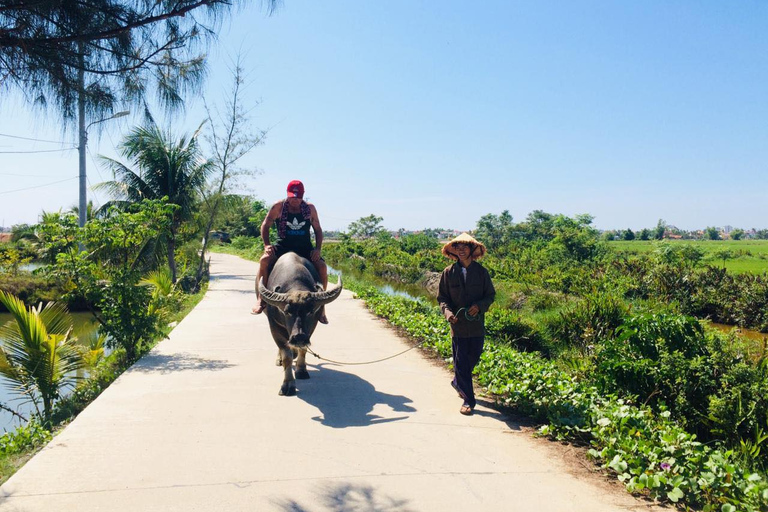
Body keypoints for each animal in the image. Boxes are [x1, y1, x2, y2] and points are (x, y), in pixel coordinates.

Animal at [258, 252, 342, 396]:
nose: (299, 337)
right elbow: (286, 355)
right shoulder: (274, 326)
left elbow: (303, 349)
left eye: (310, 311)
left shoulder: (311, 327)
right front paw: (288, 385)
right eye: (287, 311)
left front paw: (301, 370)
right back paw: (280, 358)